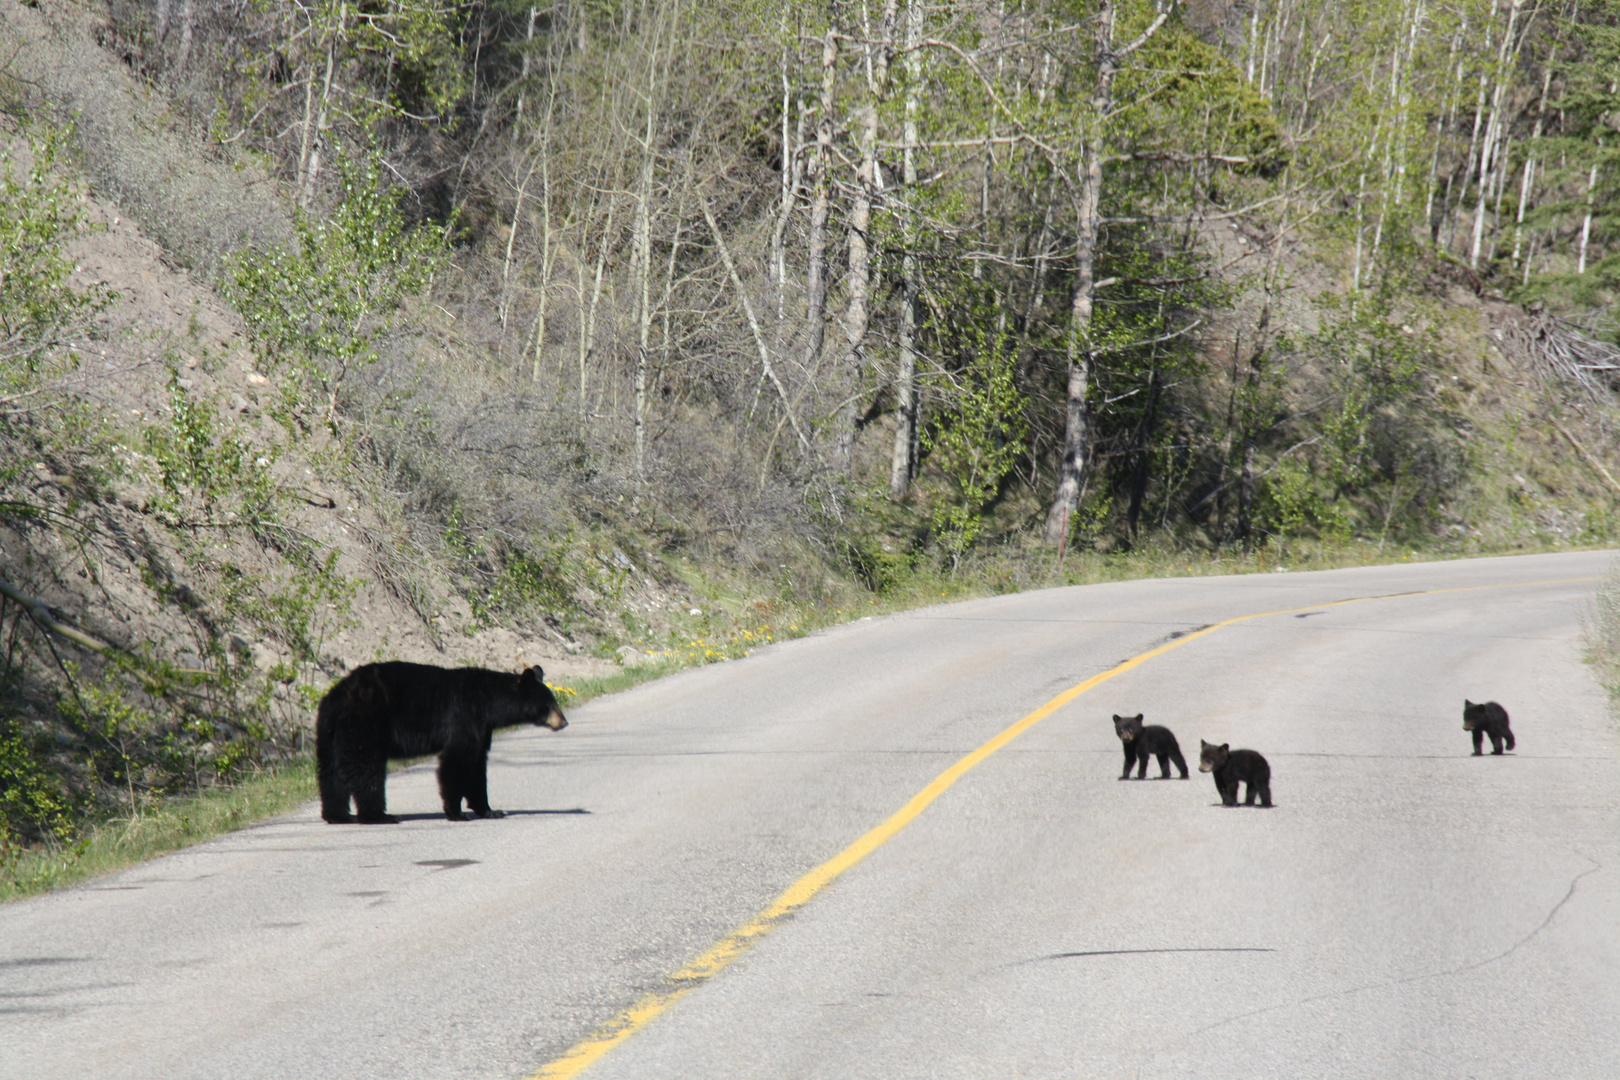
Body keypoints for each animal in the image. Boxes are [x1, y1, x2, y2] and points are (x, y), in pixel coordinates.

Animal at [317, 660, 570, 829]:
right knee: (366, 769)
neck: (489, 702)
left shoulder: (482, 727)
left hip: (330, 733)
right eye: (549, 704)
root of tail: (337, 696)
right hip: (367, 723)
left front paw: (490, 810)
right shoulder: (464, 716)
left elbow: (478, 766)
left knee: (331, 773)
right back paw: (379, 816)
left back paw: (338, 815)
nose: (564, 722)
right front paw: (457, 813)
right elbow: (458, 760)